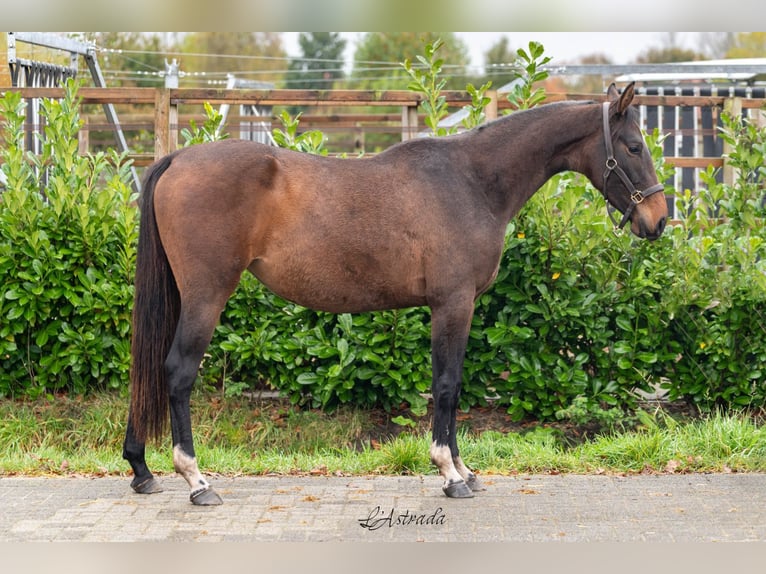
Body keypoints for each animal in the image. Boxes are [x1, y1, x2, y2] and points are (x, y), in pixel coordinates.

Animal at [124, 83, 664, 506]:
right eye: (634, 146)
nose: (657, 221)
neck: (472, 181)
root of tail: (177, 159)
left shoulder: (453, 307)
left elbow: (454, 385)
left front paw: (464, 470)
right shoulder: (453, 304)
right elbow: (446, 385)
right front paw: (449, 474)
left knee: (148, 367)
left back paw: (142, 471)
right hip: (206, 297)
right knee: (177, 373)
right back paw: (196, 481)